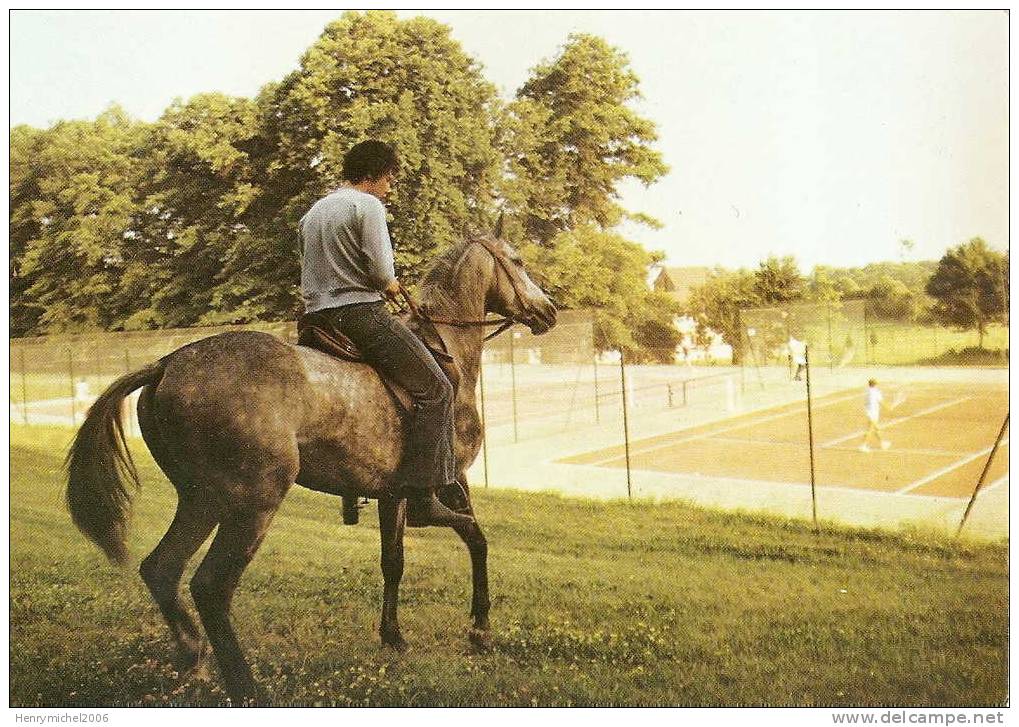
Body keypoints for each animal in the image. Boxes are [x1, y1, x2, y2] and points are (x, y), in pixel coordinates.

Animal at [65, 228, 558, 701]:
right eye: (517, 261)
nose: (549, 310)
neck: (446, 349)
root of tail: (167, 365)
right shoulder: (447, 484)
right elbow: (476, 538)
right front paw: (479, 629)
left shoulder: (391, 494)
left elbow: (394, 561)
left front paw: (393, 636)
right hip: (252, 504)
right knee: (211, 585)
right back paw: (246, 688)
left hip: (200, 501)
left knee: (162, 568)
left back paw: (192, 657)